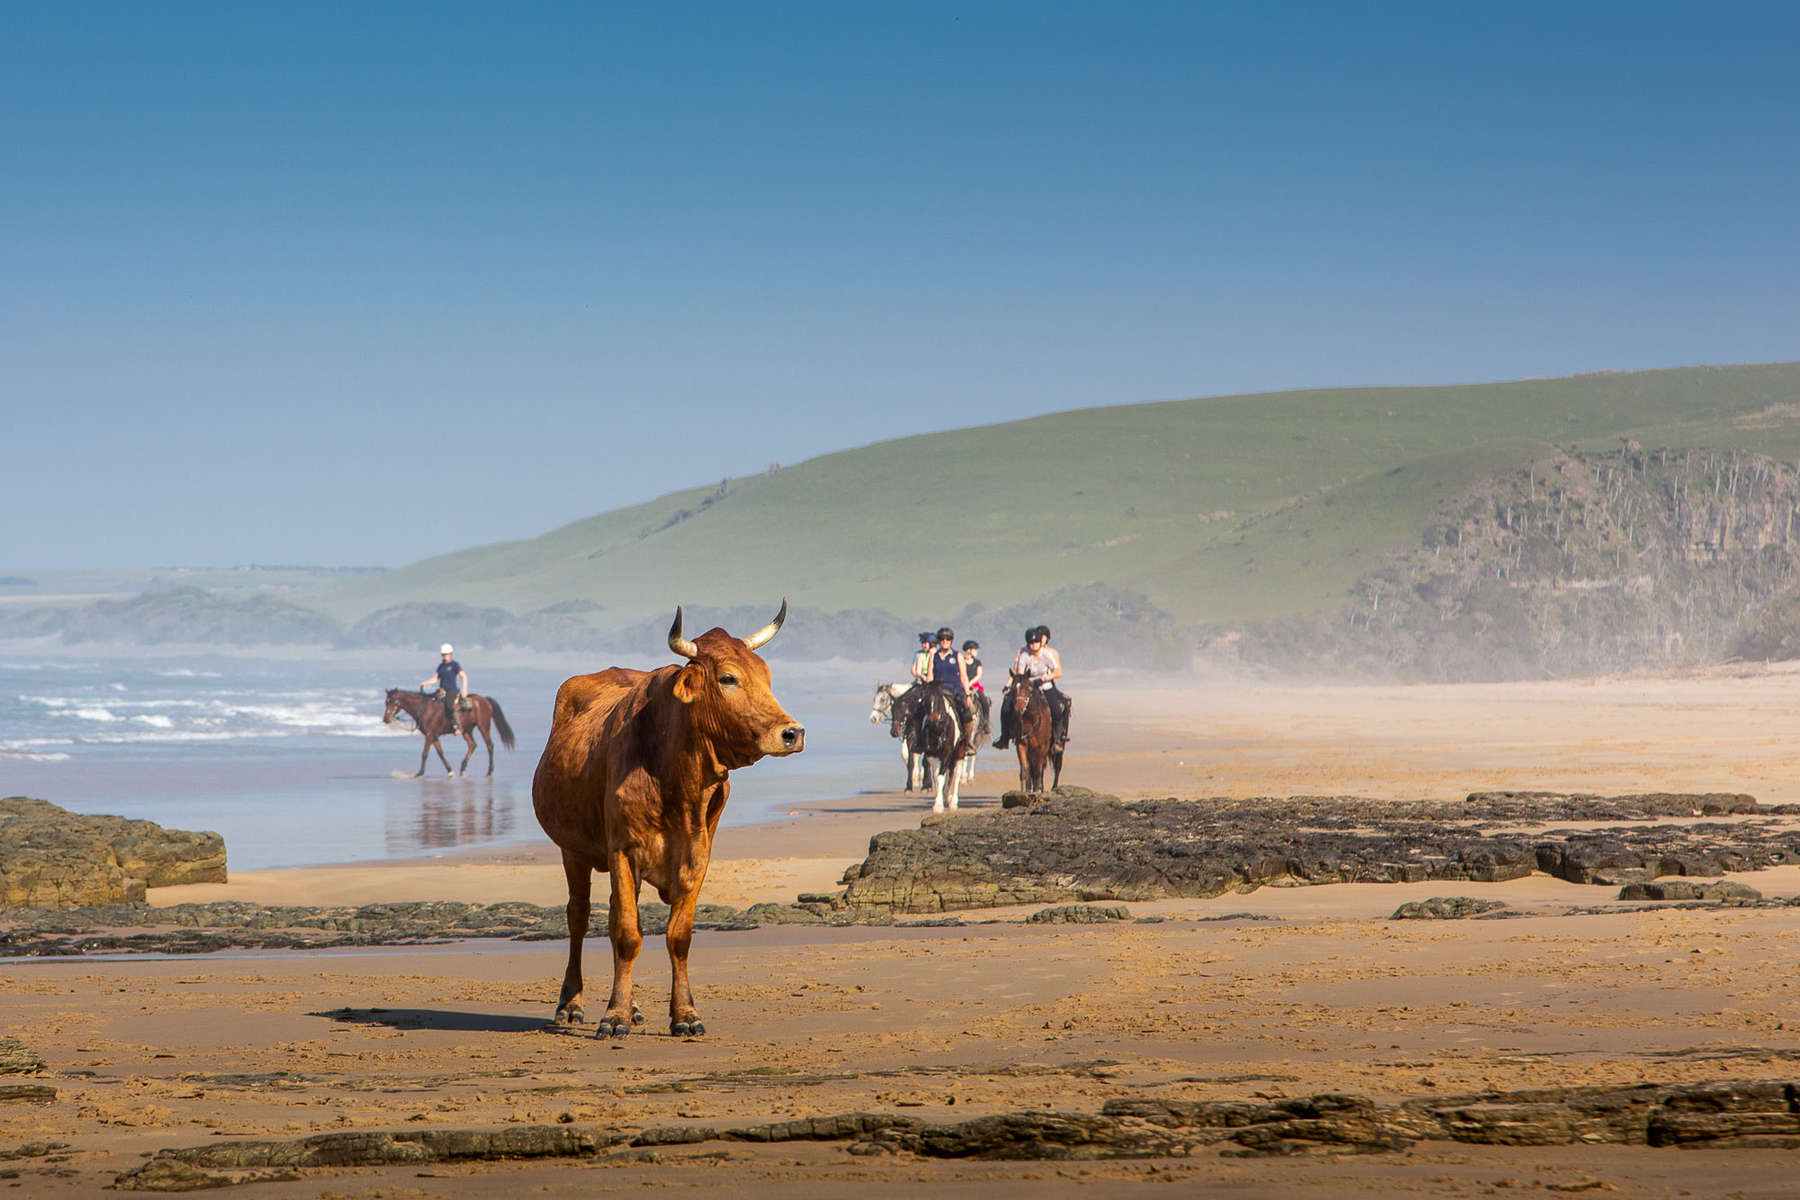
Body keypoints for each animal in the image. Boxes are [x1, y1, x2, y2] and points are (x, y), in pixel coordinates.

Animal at [383, 690, 518, 784]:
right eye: (386, 702)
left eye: (393, 702)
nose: (385, 719)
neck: (424, 709)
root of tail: (485, 699)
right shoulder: (434, 736)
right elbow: (440, 753)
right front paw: (450, 772)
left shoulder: (430, 735)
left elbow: (425, 753)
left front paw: (419, 773)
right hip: (466, 730)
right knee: (472, 745)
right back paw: (463, 769)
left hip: (483, 726)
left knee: (489, 745)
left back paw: (489, 771)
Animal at [525, 604, 799, 1036]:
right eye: (728, 678)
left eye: (766, 675)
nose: (791, 733)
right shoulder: (622, 850)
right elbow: (626, 933)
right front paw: (614, 1016)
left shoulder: (699, 855)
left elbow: (677, 936)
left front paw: (684, 1013)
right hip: (573, 851)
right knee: (579, 917)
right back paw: (571, 1004)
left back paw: (634, 1007)